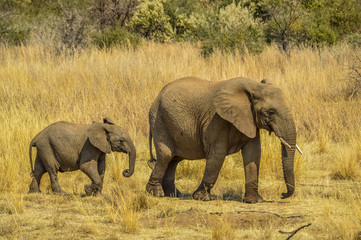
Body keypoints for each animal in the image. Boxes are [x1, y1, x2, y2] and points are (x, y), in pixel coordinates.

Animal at [145, 76, 300, 202]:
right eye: (271, 112)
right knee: (166, 156)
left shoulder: (249, 120)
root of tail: (156, 98)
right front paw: (203, 198)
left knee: (174, 159)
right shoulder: (217, 120)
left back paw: (173, 194)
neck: (254, 86)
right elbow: (217, 155)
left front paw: (254, 201)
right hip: (160, 120)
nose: (282, 194)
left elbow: (254, 153)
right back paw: (156, 193)